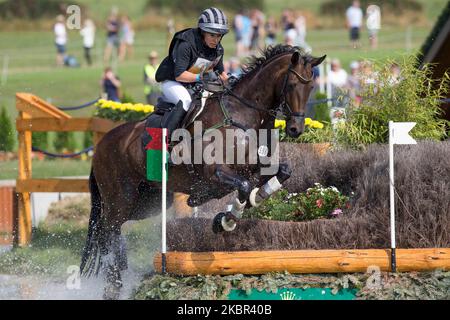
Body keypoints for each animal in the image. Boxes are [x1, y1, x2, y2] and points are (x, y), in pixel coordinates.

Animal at [81, 43, 326, 298]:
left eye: (311, 87)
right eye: (292, 85)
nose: (296, 129)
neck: (242, 114)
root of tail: (101, 145)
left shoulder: (255, 165)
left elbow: (279, 173)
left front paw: (249, 201)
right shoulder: (215, 173)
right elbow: (243, 185)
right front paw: (226, 220)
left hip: (149, 201)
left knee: (110, 229)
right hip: (120, 198)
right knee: (107, 229)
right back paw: (114, 282)